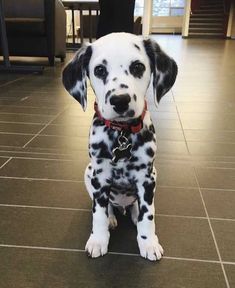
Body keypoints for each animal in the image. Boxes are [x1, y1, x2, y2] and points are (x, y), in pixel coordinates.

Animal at [62, 32, 176, 260]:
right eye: (99, 70)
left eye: (138, 67)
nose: (120, 100)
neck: (122, 134)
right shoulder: (99, 177)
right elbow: (98, 213)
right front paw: (98, 240)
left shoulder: (146, 178)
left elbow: (148, 215)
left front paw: (148, 242)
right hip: (88, 173)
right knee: (108, 207)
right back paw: (112, 218)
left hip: (154, 175)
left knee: (137, 207)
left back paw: (133, 214)